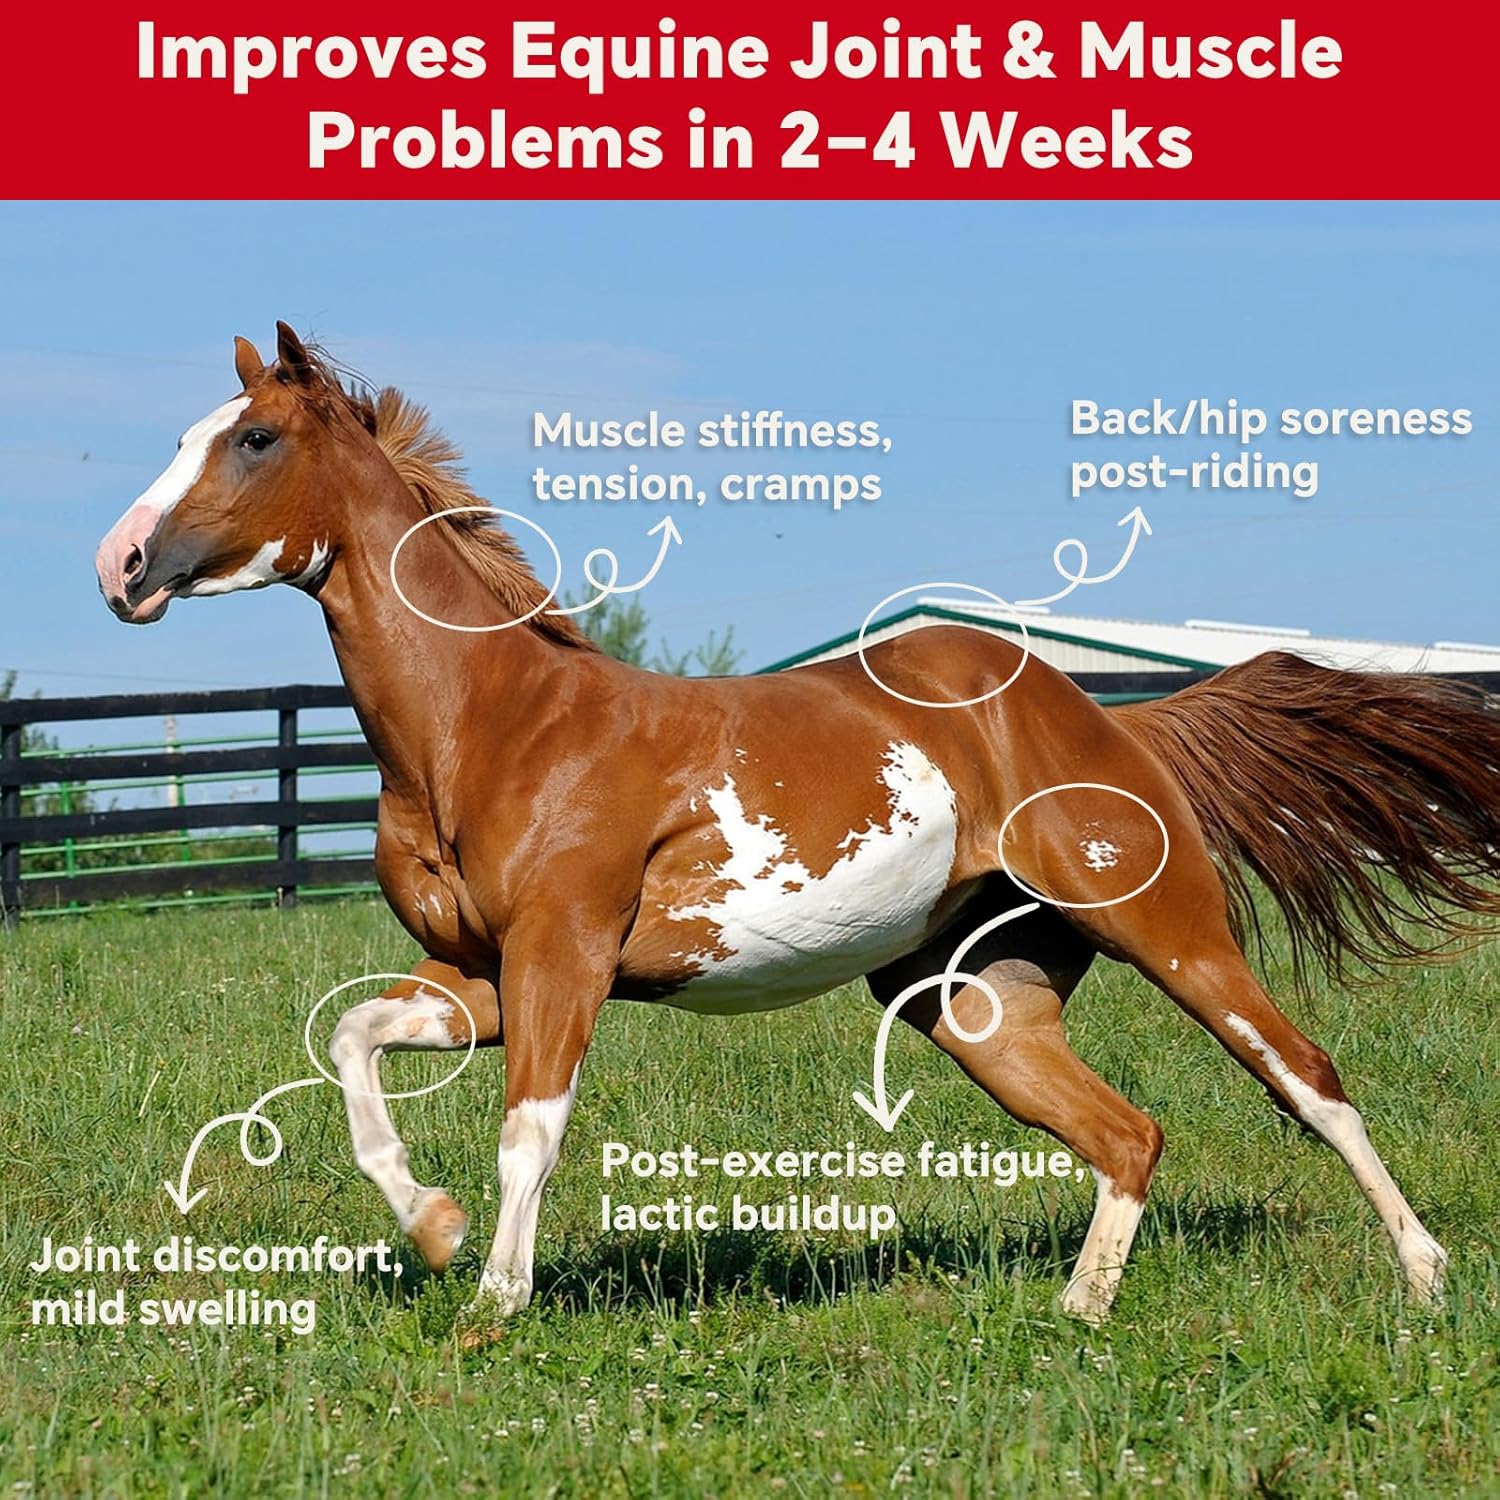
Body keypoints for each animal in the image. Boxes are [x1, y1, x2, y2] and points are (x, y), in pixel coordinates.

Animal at [96, 324, 1500, 1329]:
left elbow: (527, 1132)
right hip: (975, 1000)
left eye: (256, 438)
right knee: (1128, 1134)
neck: (497, 723)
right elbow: (353, 1042)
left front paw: (494, 1303)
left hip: (1166, 927)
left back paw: (1426, 1278)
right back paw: (1077, 1313)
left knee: (1305, 1077)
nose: (120, 567)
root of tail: (1110, 721)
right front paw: (432, 1230)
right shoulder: (476, 971)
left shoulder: (564, 957)